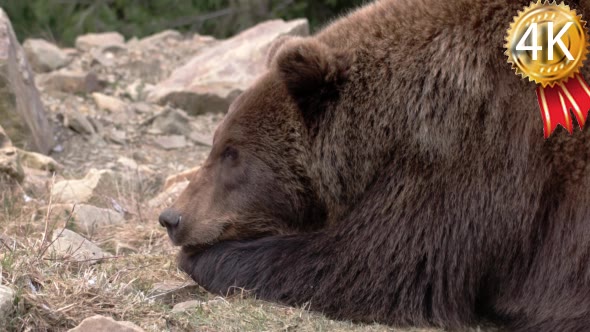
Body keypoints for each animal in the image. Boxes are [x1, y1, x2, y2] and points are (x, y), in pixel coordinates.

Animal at [161, 1, 590, 330]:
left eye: (232, 153)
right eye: (217, 143)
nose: (172, 217)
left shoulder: (476, 160)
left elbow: (375, 266)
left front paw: (203, 257)